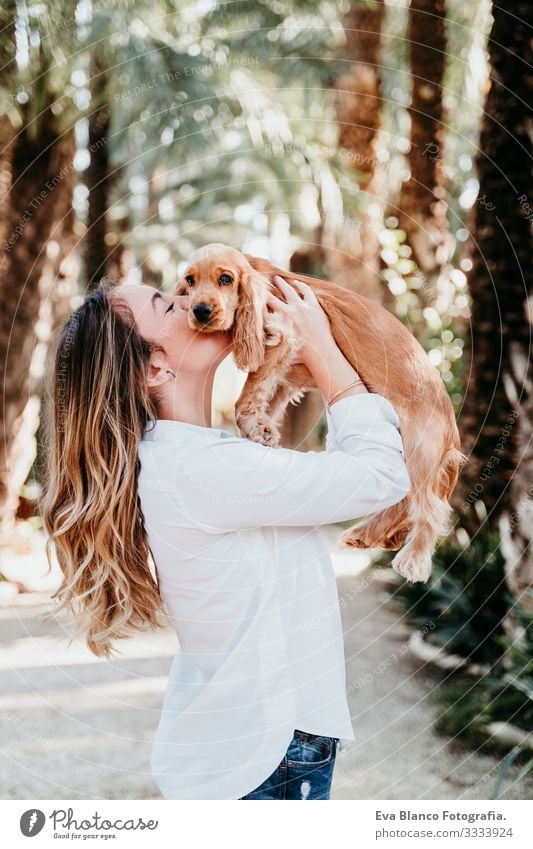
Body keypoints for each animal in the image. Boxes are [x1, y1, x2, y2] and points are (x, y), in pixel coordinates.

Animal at [176, 242, 466, 580]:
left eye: (225, 279)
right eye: (190, 281)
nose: (200, 311)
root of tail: (452, 433)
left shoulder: (283, 334)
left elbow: (248, 391)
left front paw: (255, 426)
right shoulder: (290, 370)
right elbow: (266, 395)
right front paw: (260, 429)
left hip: (419, 447)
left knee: (429, 505)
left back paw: (414, 557)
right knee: (404, 500)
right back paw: (368, 534)